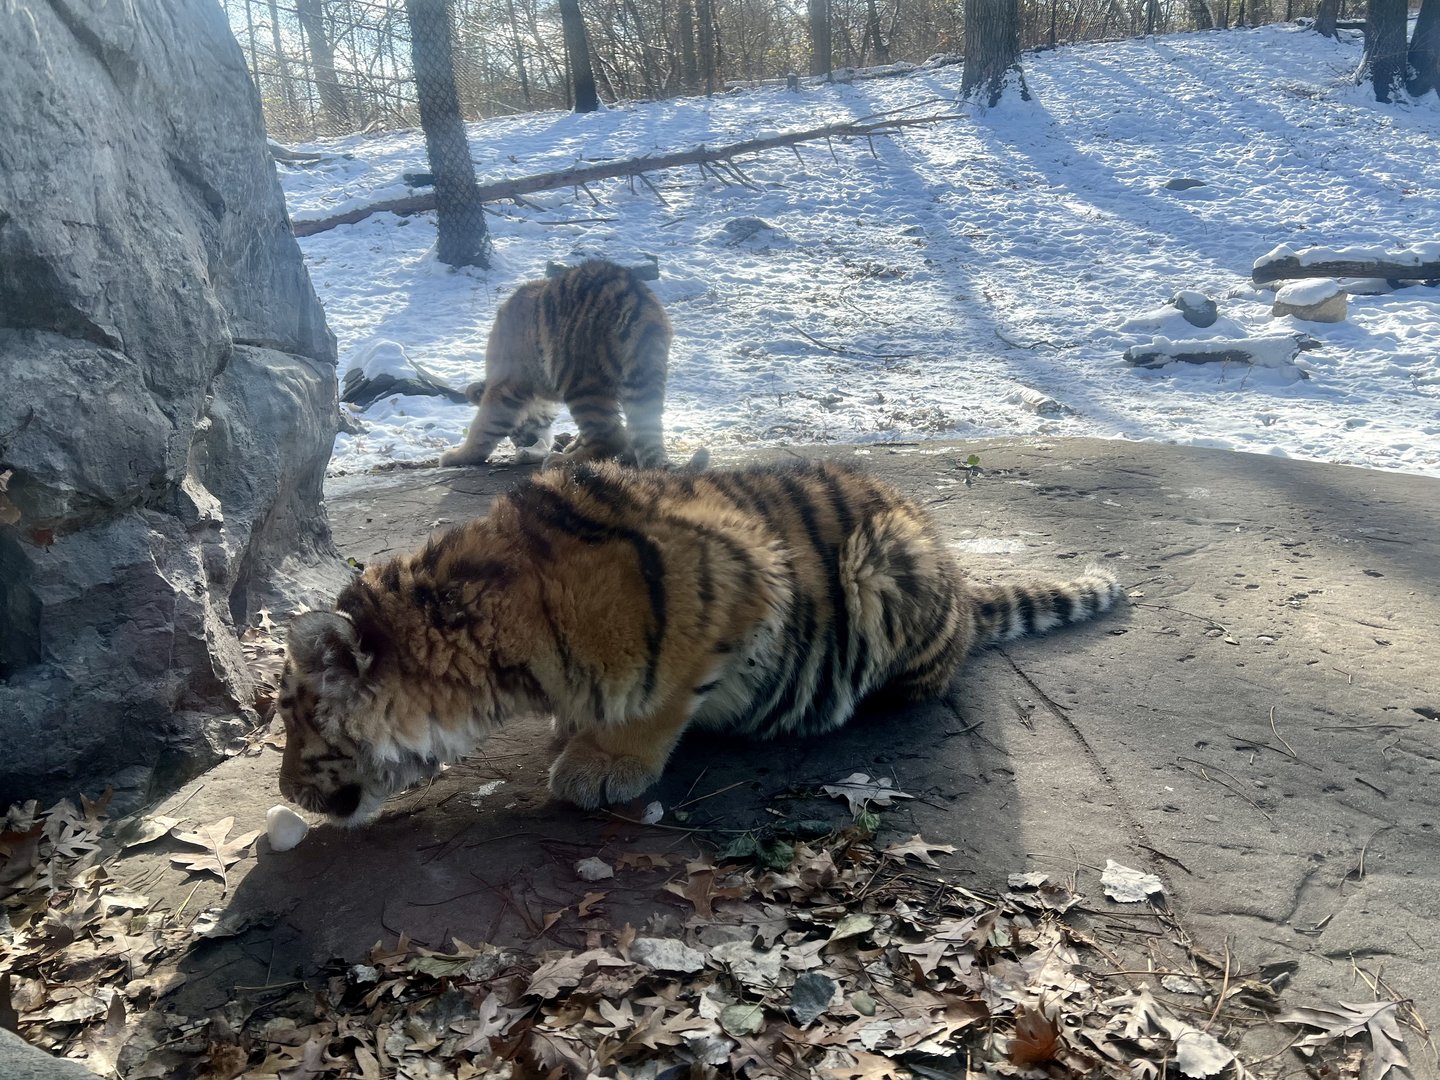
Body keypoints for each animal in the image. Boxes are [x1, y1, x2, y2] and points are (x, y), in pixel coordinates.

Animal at [276, 460, 1123, 824]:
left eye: (292, 722)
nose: (284, 794)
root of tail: (958, 577)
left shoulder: (739, 577)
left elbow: (661, 696)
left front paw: (601, 763)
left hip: (885, 562)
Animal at [438, 259, 673, 470]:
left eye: (515, 433)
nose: (522, 444)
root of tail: (633, 294)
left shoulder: (505, 384)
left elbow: (484, 425)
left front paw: (456, 456)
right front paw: (574, 444)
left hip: (579, 378)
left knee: (611, 435)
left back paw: (559, 461)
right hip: (642, 373)